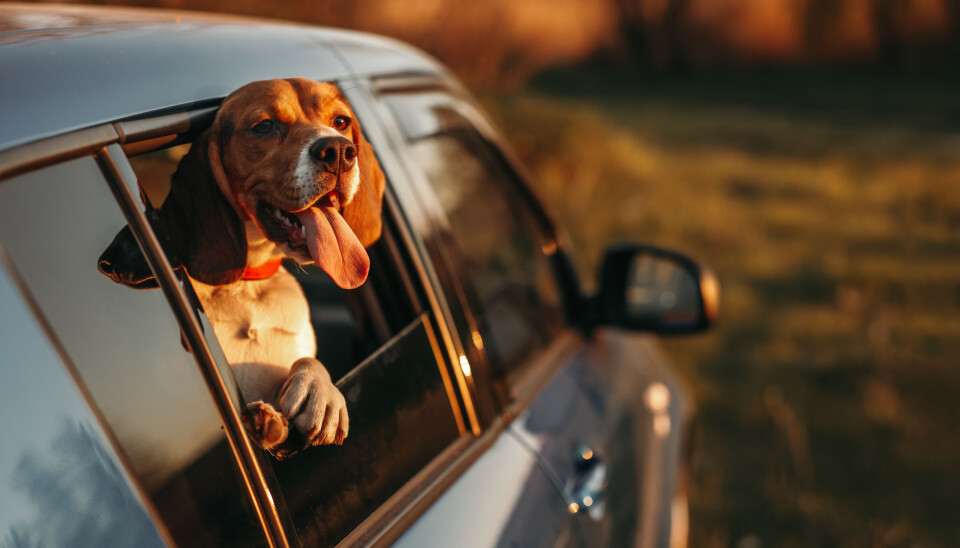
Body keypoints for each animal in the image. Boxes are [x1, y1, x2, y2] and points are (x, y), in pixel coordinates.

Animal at [101, 78, 386, 458]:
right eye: (264, 126)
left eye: (340, 122)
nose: (339, 151)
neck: (247, 284)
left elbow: (308, 361)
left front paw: (319, 392)